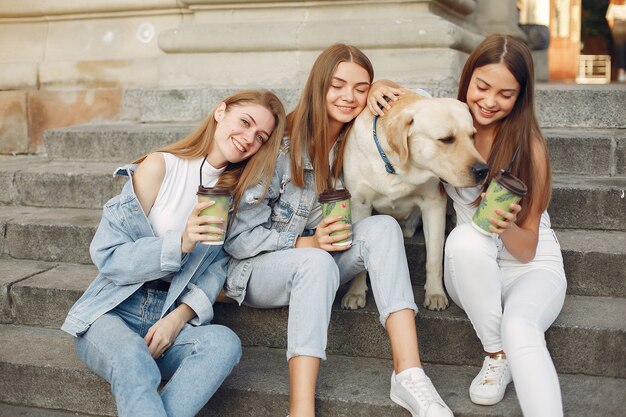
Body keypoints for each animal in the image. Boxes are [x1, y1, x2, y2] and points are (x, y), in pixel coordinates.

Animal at [342, 91, 488, 310]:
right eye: (446, 139)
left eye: (473, 136)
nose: (483, 170)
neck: (397, 168)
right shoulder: (359, 203)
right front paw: (355, 292)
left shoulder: (434, 203)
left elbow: (434, 258)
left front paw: (435, 293)